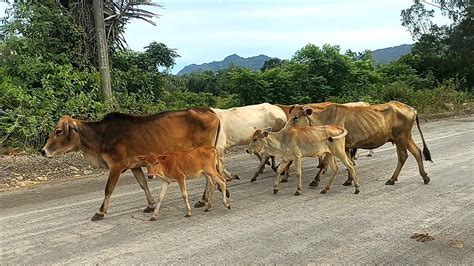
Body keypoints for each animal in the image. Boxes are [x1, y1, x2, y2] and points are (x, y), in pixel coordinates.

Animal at [42, 108, 222, 220]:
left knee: (209, 177)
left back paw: (204, 200)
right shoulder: (134, 166)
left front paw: (100, 212)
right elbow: (143, 184)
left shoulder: (116, 166)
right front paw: (150, 205)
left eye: (59, 131)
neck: (101, 136)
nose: (43, 151)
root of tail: (212, 112)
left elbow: (108, 189)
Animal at [286, 100, 432, 187]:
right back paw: (424, 176)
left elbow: (324, 163)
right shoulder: (345, 146)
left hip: (401, 137)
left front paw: (315, 181)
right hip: (406, 137)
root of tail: (411, 108)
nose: (285, 130)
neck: (324, 119)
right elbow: (349, 162)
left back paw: (392, 179)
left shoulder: (333, 145)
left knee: (403, 156)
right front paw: (349, 180)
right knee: (417, 152)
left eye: (296, 117)